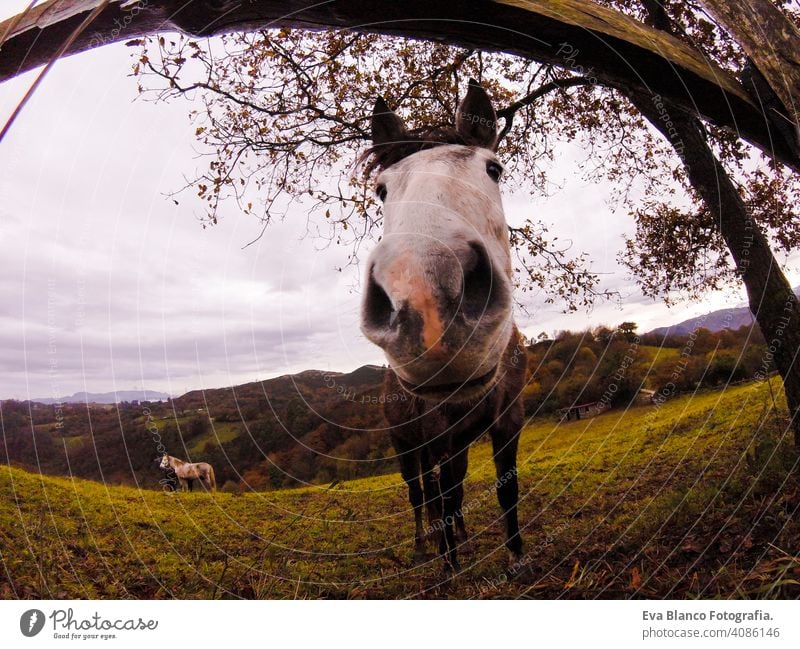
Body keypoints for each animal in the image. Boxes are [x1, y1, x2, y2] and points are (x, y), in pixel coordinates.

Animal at [360, 78, 524, 568]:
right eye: (381, 190)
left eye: (494, 169)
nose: (425, 302)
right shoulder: (439, 436)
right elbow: (442, 496)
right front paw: (451, 565)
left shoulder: (509, 423)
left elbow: (505, 491)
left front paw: (517, 555)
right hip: (407, 445)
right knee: (421, 493)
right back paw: (425, 543)